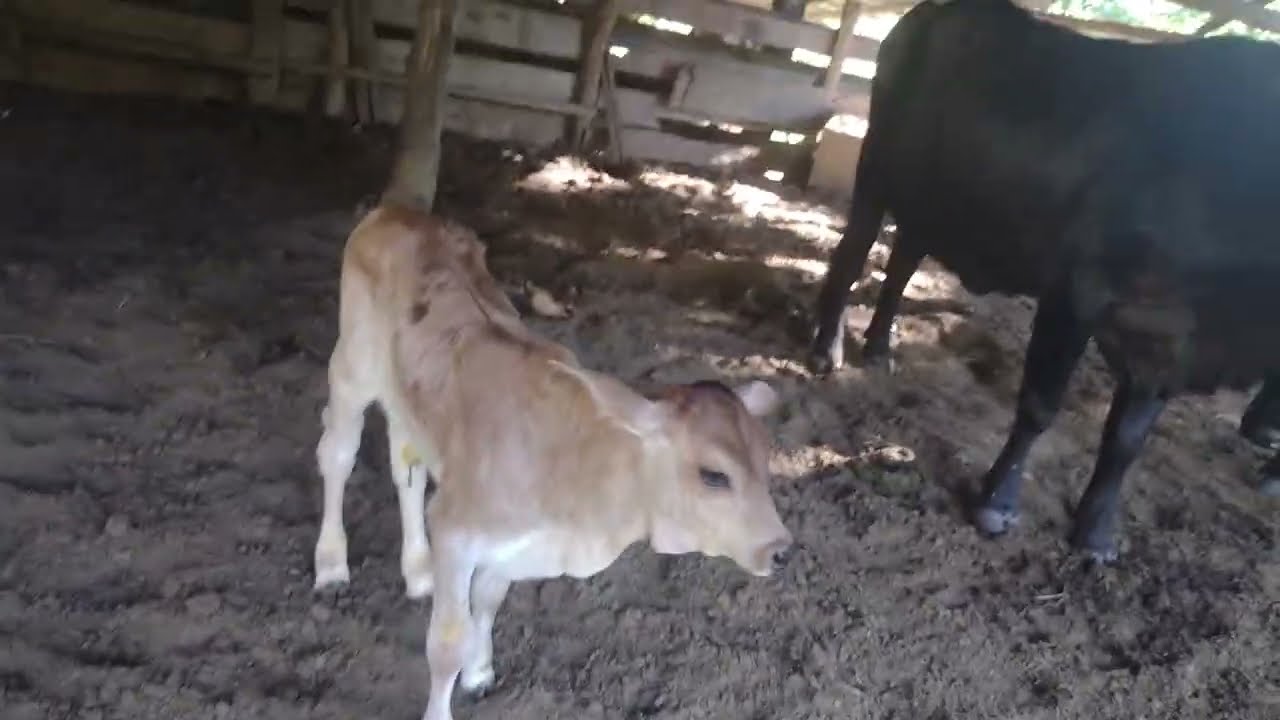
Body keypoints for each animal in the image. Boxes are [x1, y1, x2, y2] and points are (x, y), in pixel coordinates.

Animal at [310, 203, 793, 720]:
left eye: (766, 461)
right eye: (714, 475)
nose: (781, 549)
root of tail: (399, 211)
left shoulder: (511, 550)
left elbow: (487, 603)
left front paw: (480, 672)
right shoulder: (457, 532)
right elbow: (446, 645)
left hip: (408, 401)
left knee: (408, 468)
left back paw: (418, 570)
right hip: (351, 369)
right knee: (337, 455)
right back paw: (332, 565)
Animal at [806, 0, 1280, 560]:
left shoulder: (1166, 342)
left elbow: (1127, 441)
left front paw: (1095, 534)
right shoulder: (1076, 294)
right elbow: (1039, 406)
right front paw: (996, 504)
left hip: (936, 201)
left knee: (902, 264)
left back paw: (879, 347)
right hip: (878, 168)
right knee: (853, 251)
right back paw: (826, 350)